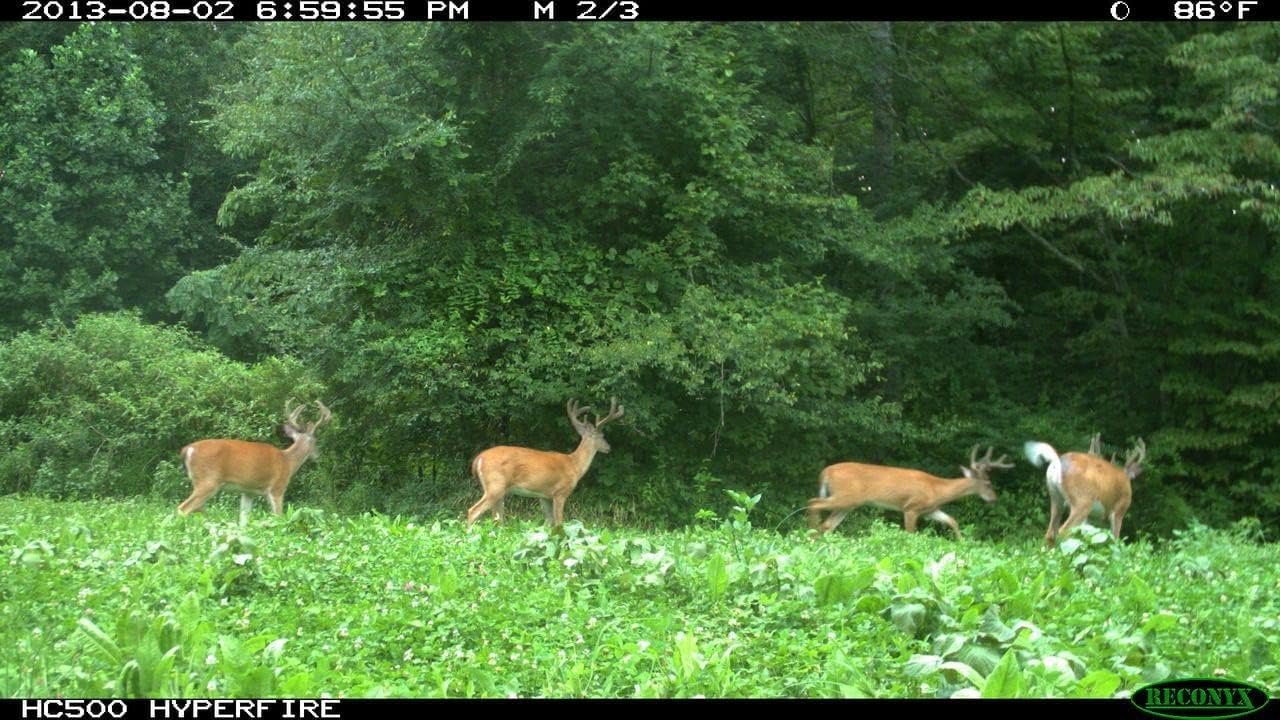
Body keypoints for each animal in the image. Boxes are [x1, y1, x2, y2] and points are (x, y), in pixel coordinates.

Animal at [177, 399, 332, 524]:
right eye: (316, 441)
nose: (317, 455)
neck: (288, 461)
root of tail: (188, 450)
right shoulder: (277, 487)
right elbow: (279, 517)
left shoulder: (248, 491)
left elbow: (243, 519)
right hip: (208, 481)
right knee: (183, 508)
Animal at [467, 398, 624, 528]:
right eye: (602, 435)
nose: (609, 447)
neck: (575, 465)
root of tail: (479, 458)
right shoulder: (561, 492)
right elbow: (559, 522)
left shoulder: (544, 496)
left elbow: (548, 523)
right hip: (495, 485)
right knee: (473, 511)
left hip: (499, 490)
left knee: (497, 518)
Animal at [807, 446, 1015, 539]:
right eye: (988, 483)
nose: (994, 499)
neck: (937, 489)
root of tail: (825, 472)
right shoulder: (911, 507)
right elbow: (911, 533)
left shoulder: (930, 510)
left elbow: (952, 520)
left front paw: (961, 542)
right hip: (846, 496)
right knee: (813, 502)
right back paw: (810, 531)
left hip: (848, 504)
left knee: (828, 524)